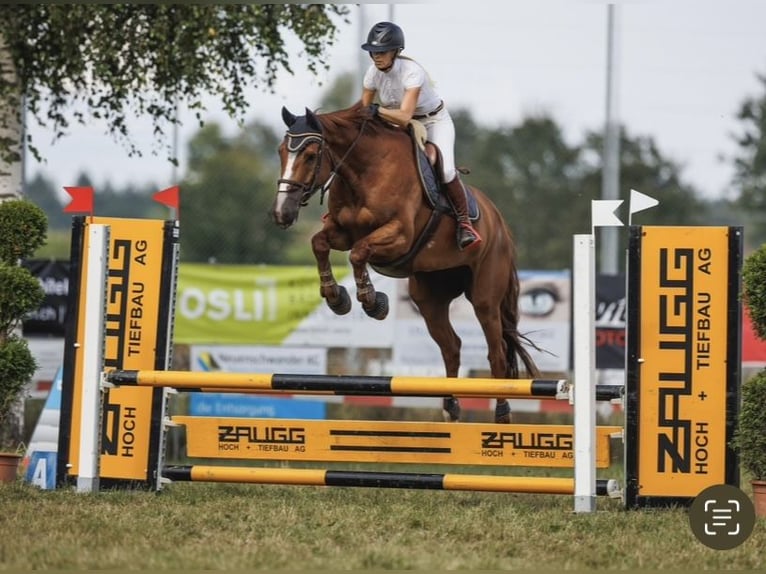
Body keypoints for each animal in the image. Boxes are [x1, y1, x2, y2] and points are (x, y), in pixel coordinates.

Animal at [270, 102, 540, 423]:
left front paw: (372, 302)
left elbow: (358, 252)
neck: (362, 172)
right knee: (452, 347)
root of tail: (500, 224)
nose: (282, 213)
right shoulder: (341, 232)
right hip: (429, 296)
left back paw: (501, 414)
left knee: (496, 353)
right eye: (280, 152)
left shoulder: (398, 236)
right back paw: (451, 409)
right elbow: (320, 244)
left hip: (485, 296)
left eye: (311, 155)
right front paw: (336, 297)